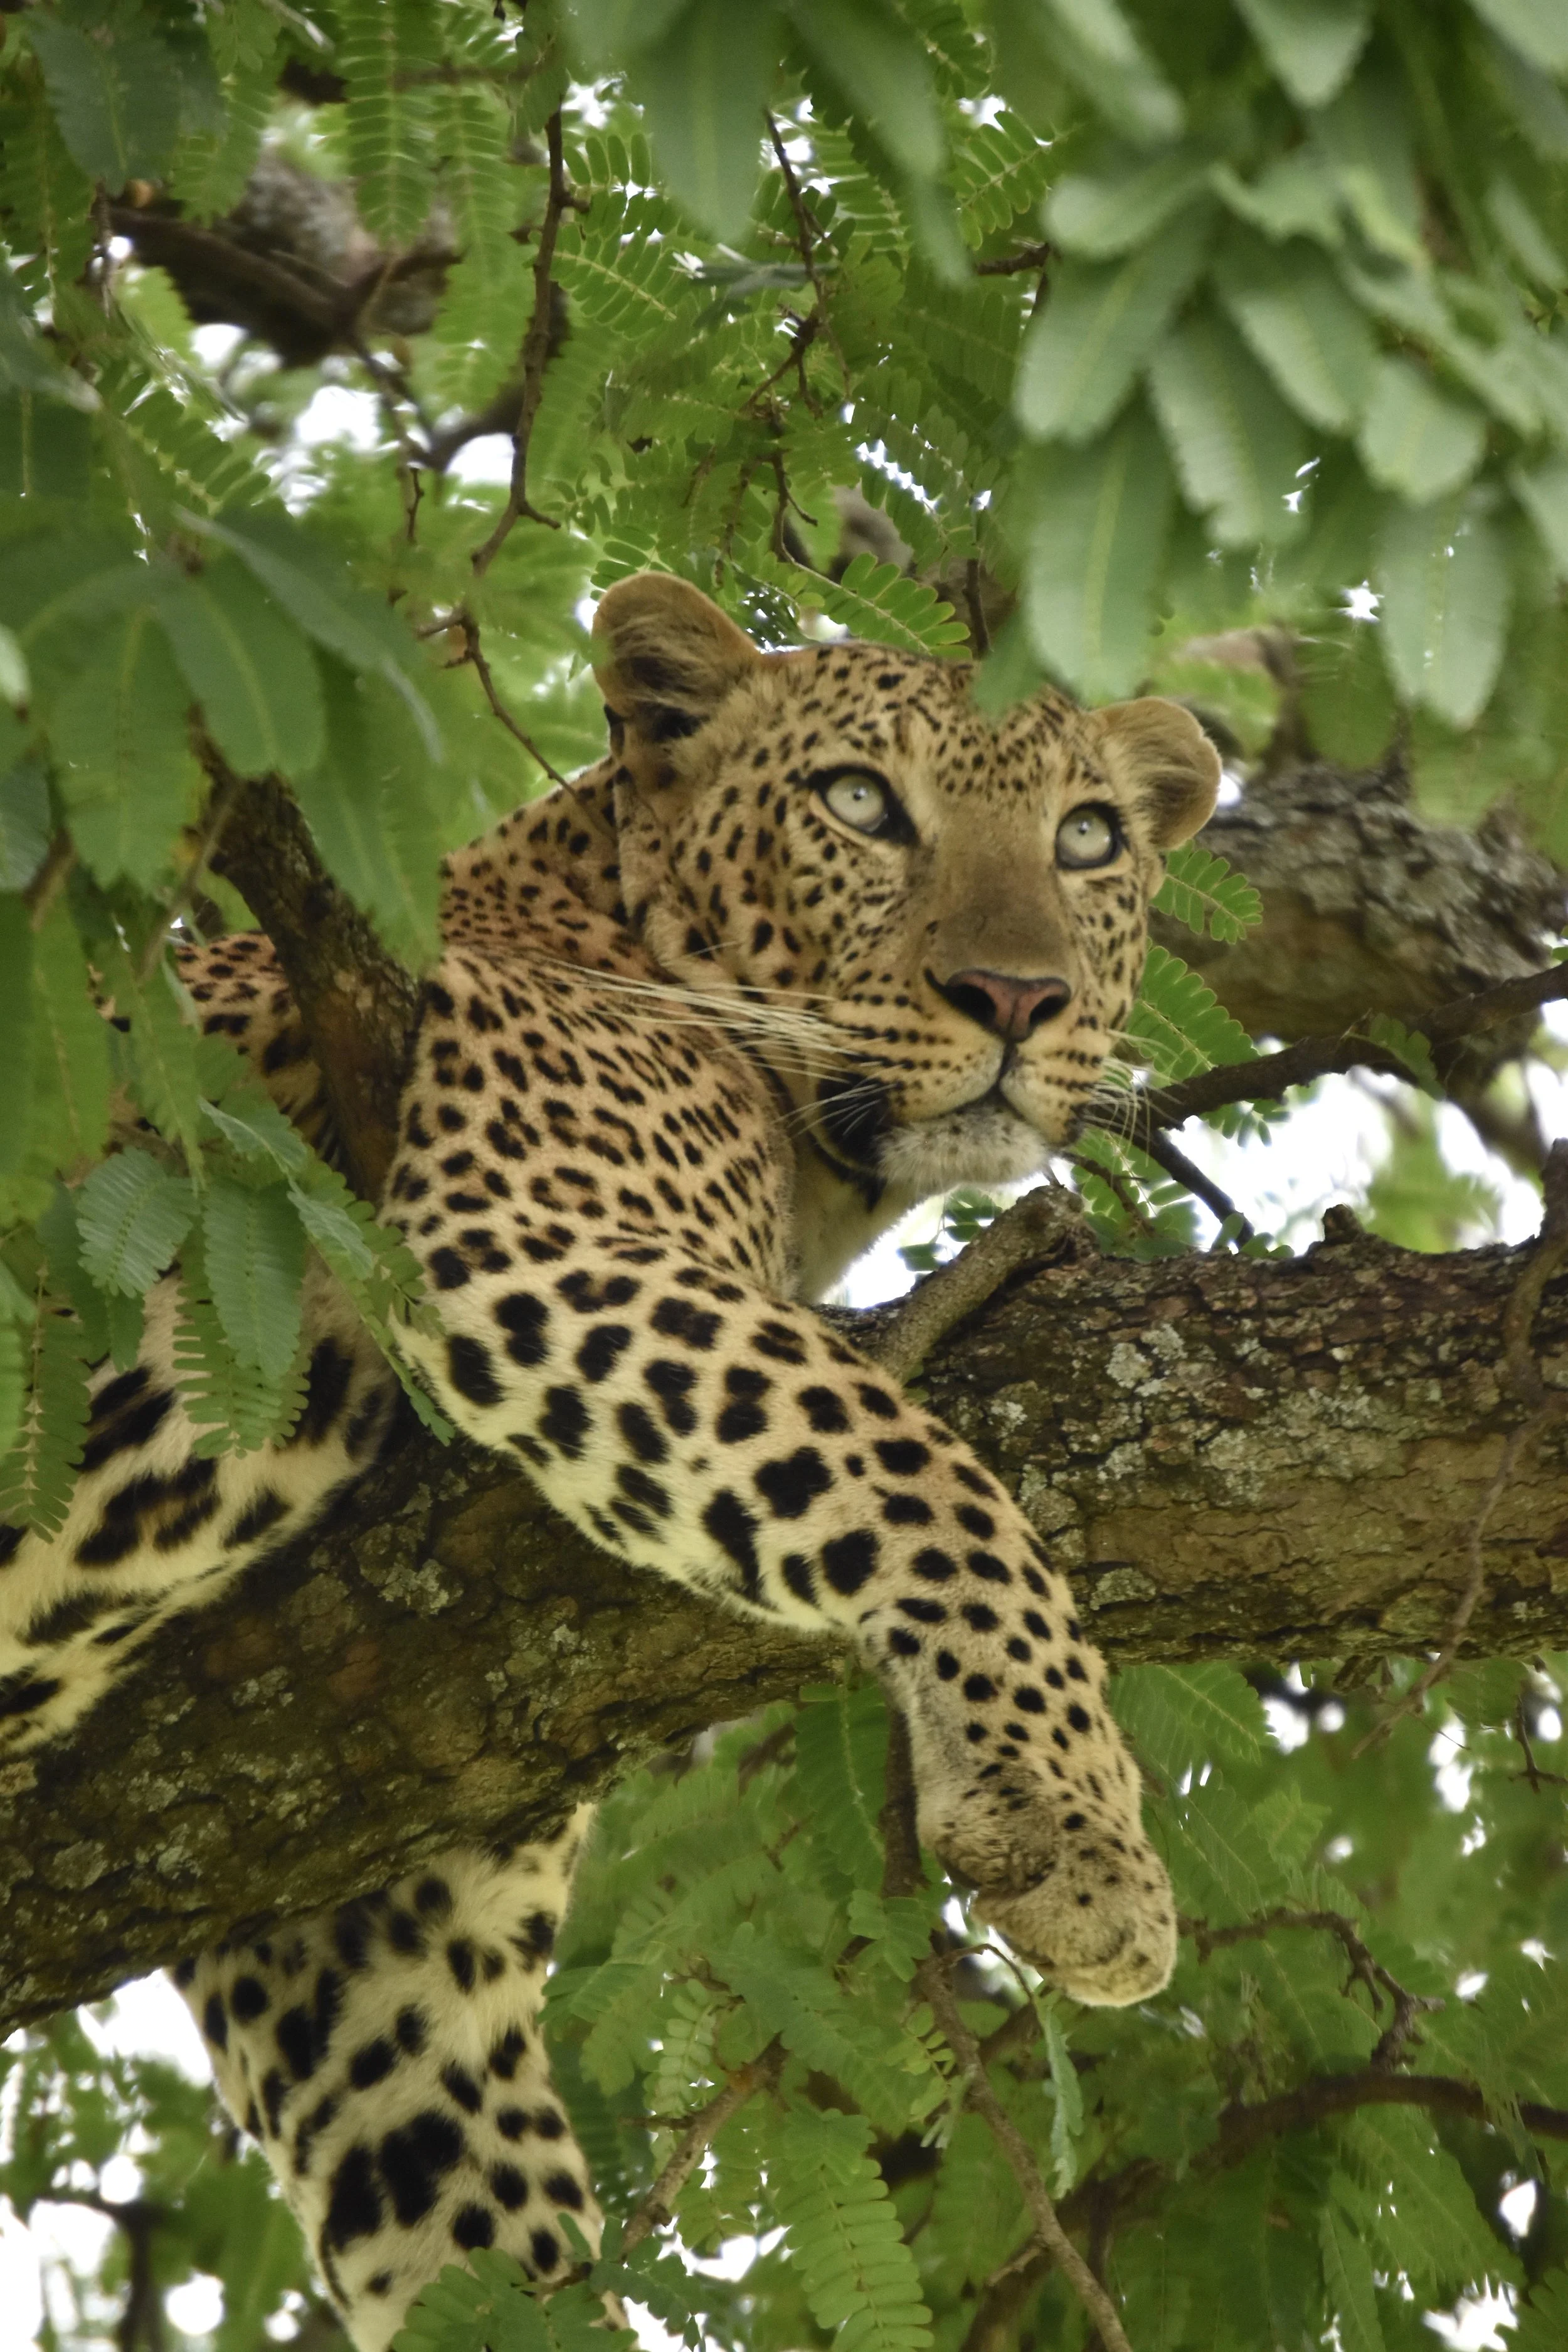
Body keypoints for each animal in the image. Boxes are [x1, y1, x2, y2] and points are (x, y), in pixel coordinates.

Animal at [0, 573, 1220, 2351]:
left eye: (1084, 839)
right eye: (859, 803)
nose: (1016, 998)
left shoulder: (367, 1915)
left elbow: (482, 2238)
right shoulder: (532, 1235)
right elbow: (919, 1467)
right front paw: (1068, 1820)